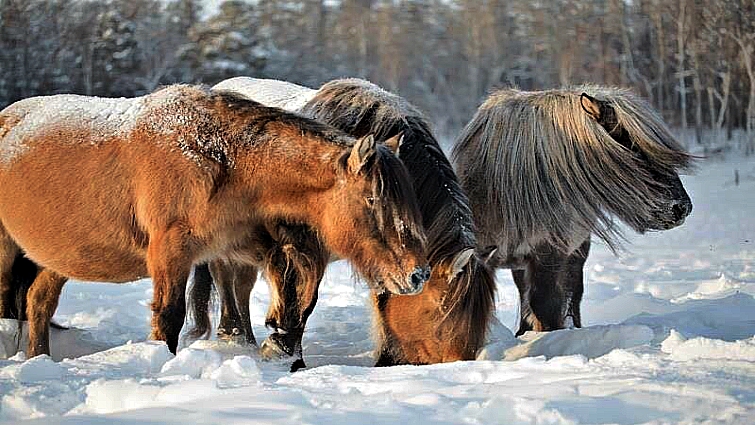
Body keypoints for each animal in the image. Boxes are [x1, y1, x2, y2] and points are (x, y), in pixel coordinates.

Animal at [0, 85, 428, 358]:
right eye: (373, 200)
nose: (418, 275)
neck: (216, 156)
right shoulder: (170, 254)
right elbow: (169, 318)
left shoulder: (239, 244)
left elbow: (283, 289)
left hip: (59, 256)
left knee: (39, 303)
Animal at [188, 78, 496, 370]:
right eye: (438, 311)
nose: (459, 361)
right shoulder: (301, 249)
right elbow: (299, 301)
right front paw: (286, 355)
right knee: (225, 277)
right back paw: (235, 336)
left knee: (241, 284)